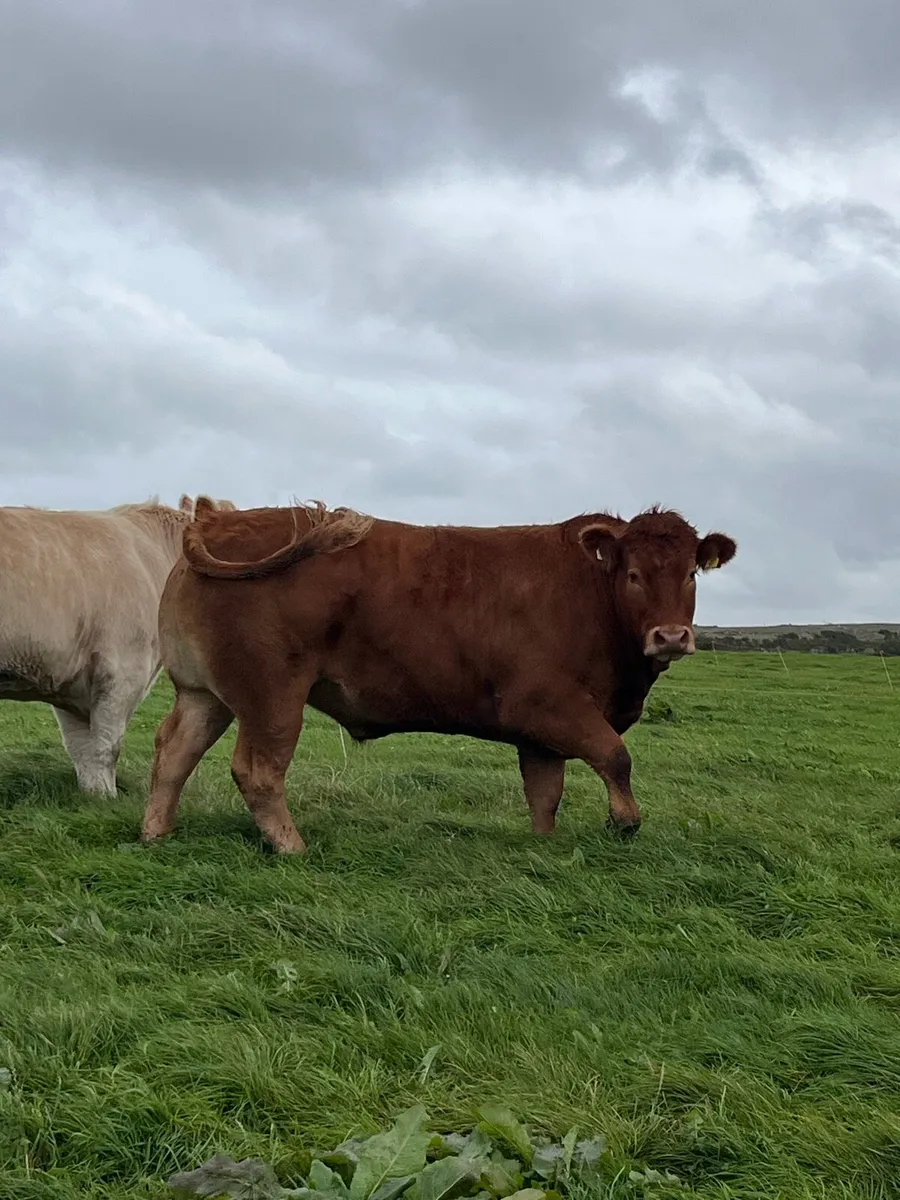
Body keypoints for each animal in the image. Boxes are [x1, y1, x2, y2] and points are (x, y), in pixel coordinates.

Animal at [0, 494, 235, 796]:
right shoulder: (124, 667)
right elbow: (107, 744)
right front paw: (107, 796)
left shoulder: (68, 680)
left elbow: (81, 746)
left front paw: (92, 795)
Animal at [140, 500, 737, 854]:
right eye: (633, 575)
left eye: (690, 573)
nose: (671, 637)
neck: (589, 593)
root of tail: (220, 519)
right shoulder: (549, 705)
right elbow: (615, 755)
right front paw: (623, 822)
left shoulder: (539, 734)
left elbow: (545, 794)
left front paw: (543, 846)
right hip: (273, 696)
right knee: (258, 770)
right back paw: (292, 847)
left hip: (205, 695)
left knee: (174, 753)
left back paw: (156, 833)